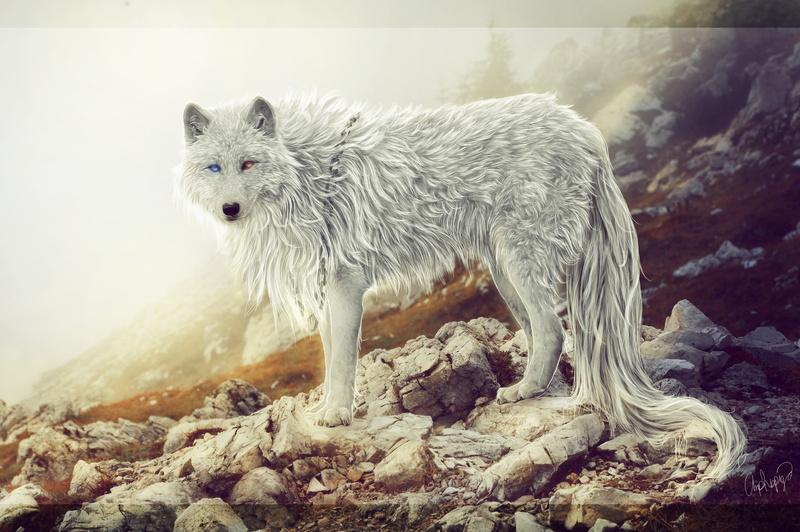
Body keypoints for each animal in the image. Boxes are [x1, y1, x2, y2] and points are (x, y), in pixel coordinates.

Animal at [176, 92, 745, 479]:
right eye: (214, 167)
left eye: (249, 162)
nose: (230, 209)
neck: (308, 172)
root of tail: (584, 128)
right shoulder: (324, 293)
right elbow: (330, 354)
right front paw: (325, 412)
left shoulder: (346, 285)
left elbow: (340, 363)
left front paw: (336, 416)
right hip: (505, 272)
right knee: (548, 333)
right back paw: (536, 390)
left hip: (520, 261)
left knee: (554, 329)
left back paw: (522, 391)